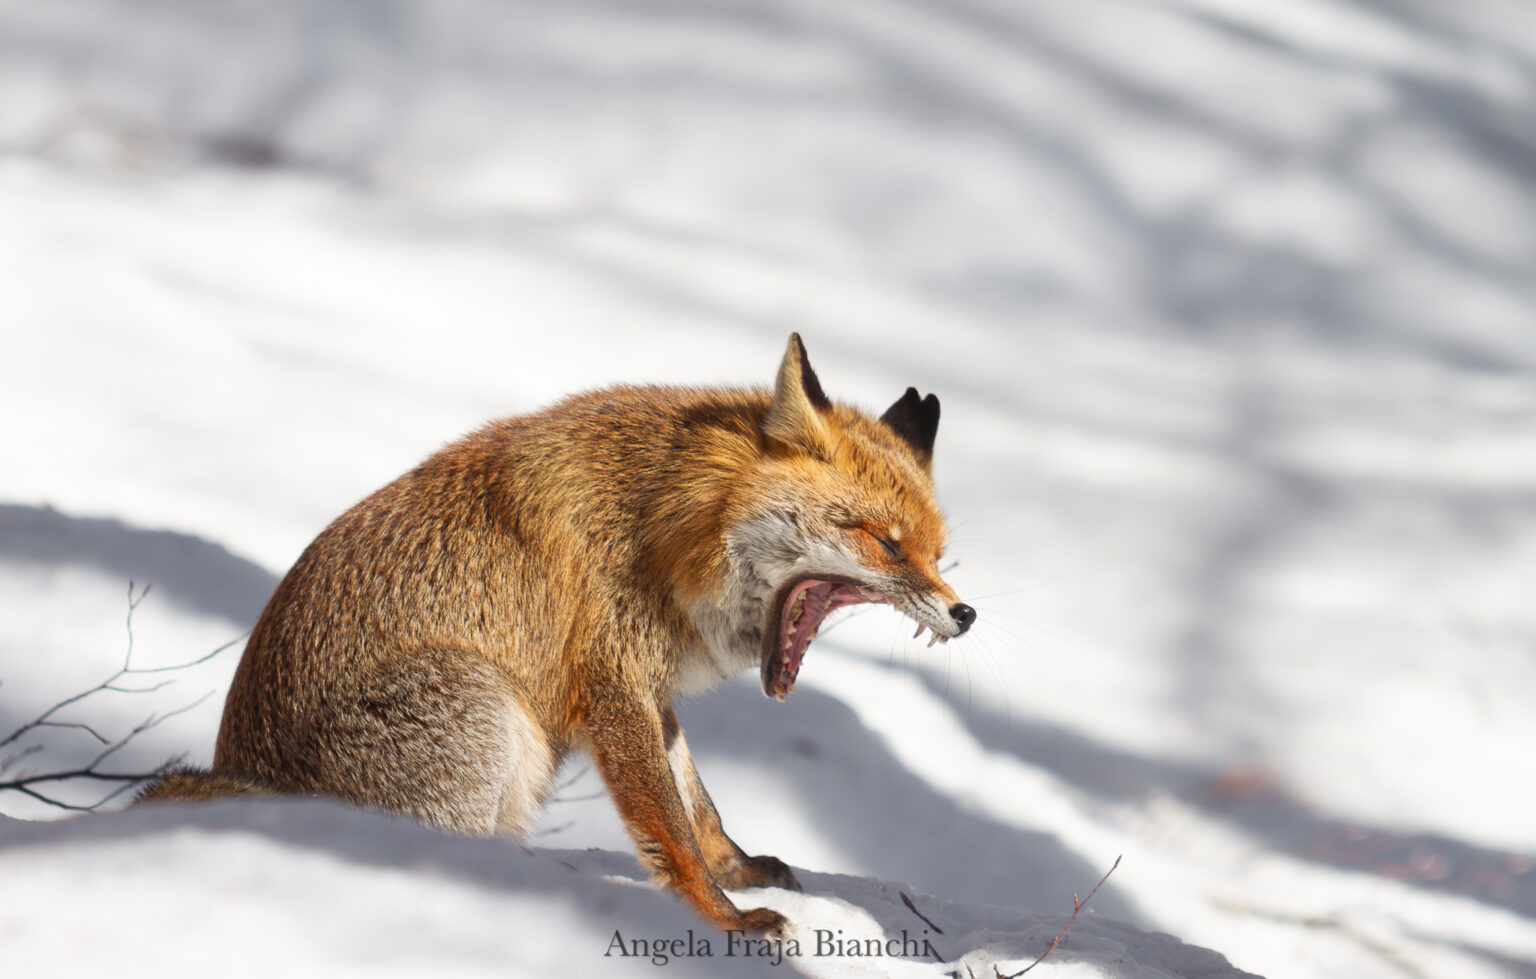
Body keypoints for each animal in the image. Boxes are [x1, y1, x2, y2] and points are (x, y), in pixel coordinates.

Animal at [146, 333, 983, 934]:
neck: (666, 522)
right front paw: (727, 921)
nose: (965, 613)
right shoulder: (613, 686)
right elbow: (670, 830)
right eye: (887, 543)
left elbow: (700, 807)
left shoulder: (647, 687)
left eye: (939, 554)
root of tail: (244, 779)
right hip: (483, 701)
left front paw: (739, 871)